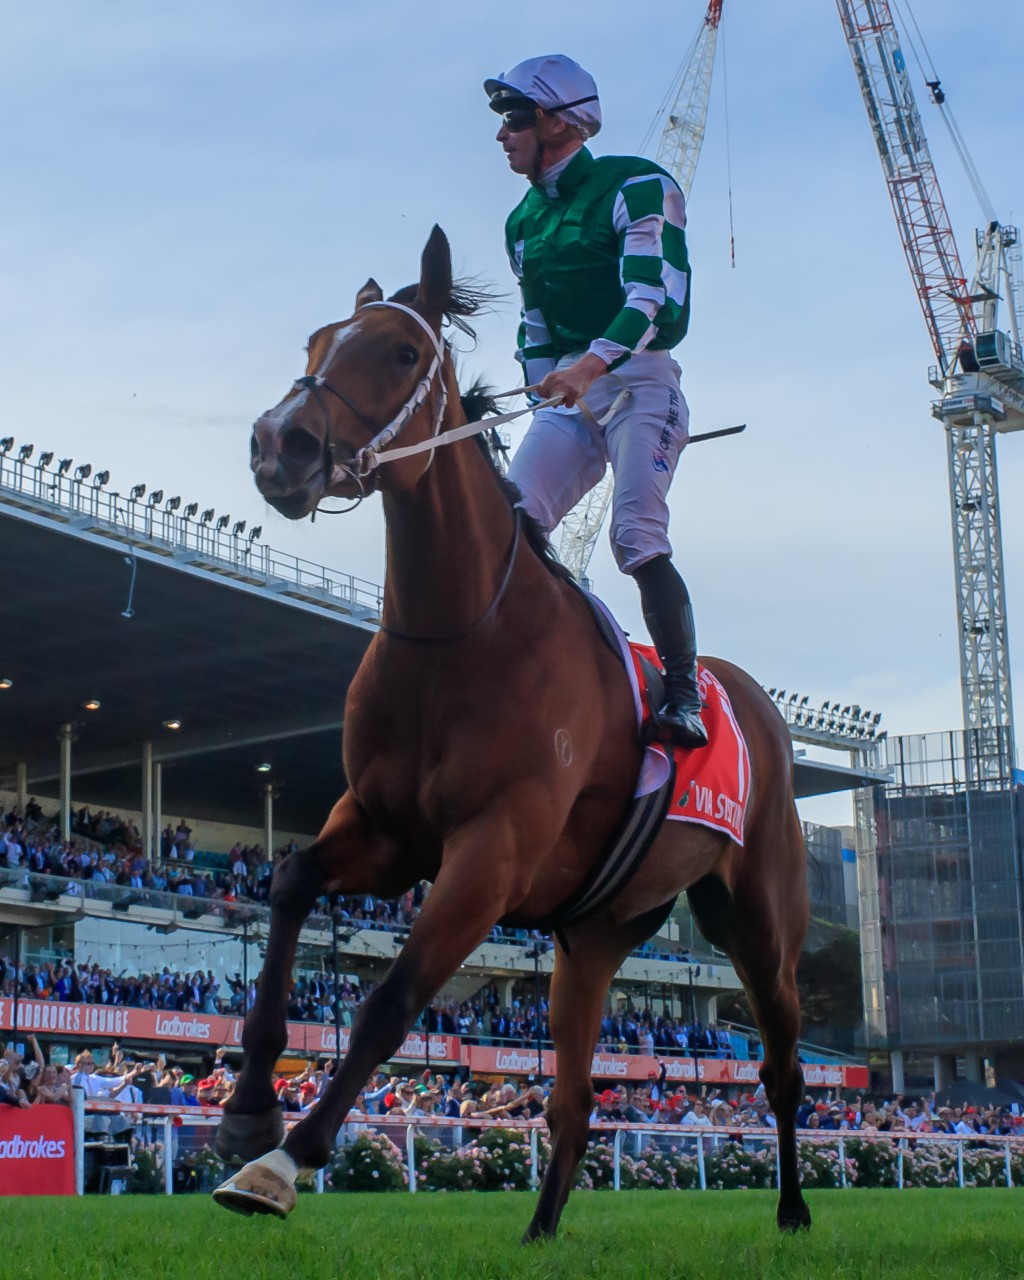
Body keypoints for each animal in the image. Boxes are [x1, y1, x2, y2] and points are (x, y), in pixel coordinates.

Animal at [214, 226, 811, 1240]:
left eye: (400, 352)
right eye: (316, 342)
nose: (277, 445)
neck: (462, 633)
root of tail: (753, 701)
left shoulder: (491, 850)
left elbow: (391, 1002)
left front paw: (286, 1160)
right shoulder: (384, 829)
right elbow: (289, 883)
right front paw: (250, 1108)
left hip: (759, 916)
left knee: (780, 1066)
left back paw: (795, 1210)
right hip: (595, 937)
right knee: (573, 1099)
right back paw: (539, 1231)